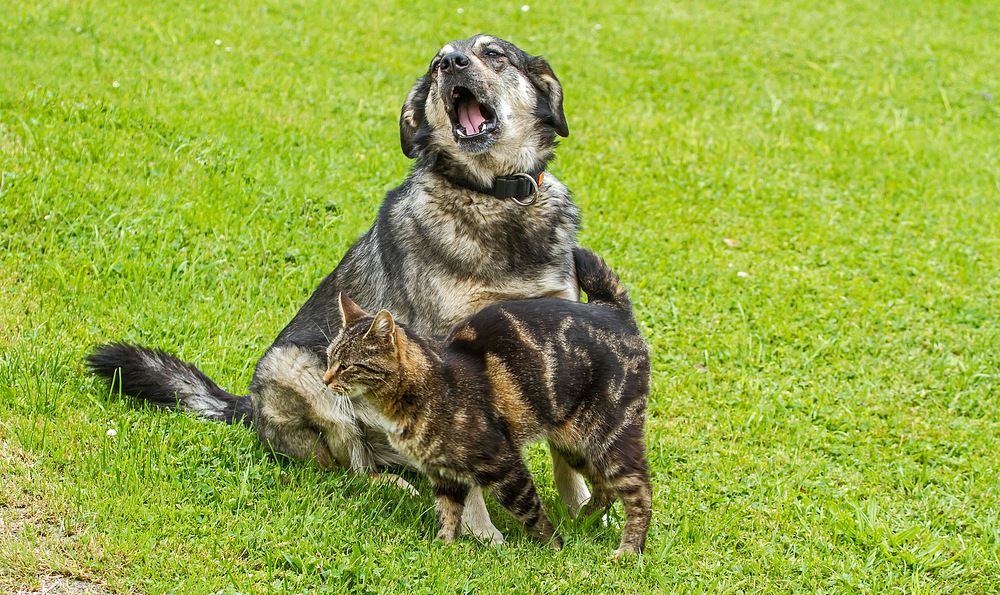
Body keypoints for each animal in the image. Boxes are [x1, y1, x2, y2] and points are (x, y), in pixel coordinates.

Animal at [90, 33, 588, 544]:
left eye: (493, 54)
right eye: (436, 65)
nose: (452, 63)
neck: (494, 197)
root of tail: (248, 406)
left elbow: (565, 451)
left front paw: (585, 510)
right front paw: (483, 534)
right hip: (303, 373)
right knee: (349, 468)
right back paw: (393, 486)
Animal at [324, 246, 652, 556]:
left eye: (346, 365)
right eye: (328, 358)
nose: (325, 380)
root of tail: (610, 308)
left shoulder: (504, 463)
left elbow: (530, 512)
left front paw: (554, 545)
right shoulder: (443, 474)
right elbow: (448, 513)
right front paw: (442, 546)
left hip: (609, 437)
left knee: (641, 491)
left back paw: (627, 550)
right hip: (574, 443)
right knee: (605, 489)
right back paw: (584, 520)